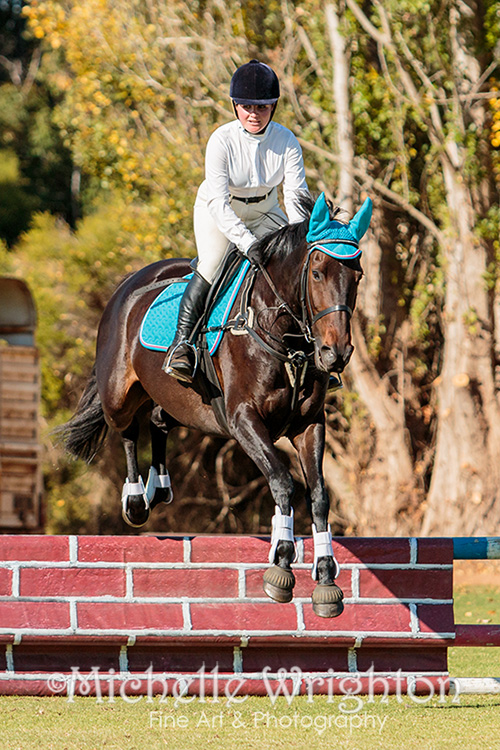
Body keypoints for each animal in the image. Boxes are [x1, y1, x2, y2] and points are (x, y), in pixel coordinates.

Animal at [57, 192, 372, 616]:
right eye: (318, 272)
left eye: (357, 276)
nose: (335, 355)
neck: (285, 337)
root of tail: (130, 283)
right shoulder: (244, 421)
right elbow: (283, 481)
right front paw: (281, 566)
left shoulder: (309, 424)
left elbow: (319, 494)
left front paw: (325, 578)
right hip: (118, 394)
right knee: (127, 429)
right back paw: (137, 499)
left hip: (182, 401)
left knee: (159, 420)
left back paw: (161, 486)